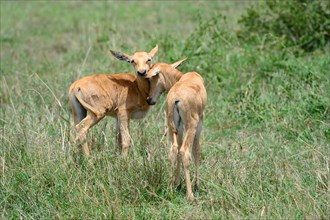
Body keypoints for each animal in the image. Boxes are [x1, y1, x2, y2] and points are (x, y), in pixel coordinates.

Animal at [142, 58, 206, 201]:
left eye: (152, 78)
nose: (149, 99)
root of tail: (176, 98)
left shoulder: (179, 128)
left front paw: (177, 183)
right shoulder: (199, 124)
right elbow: (197, 150)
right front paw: (197, 185)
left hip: (172, 127)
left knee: (174, 149)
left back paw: (170, 188)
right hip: (191, 125)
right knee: (184, 151)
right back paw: (190, 195)